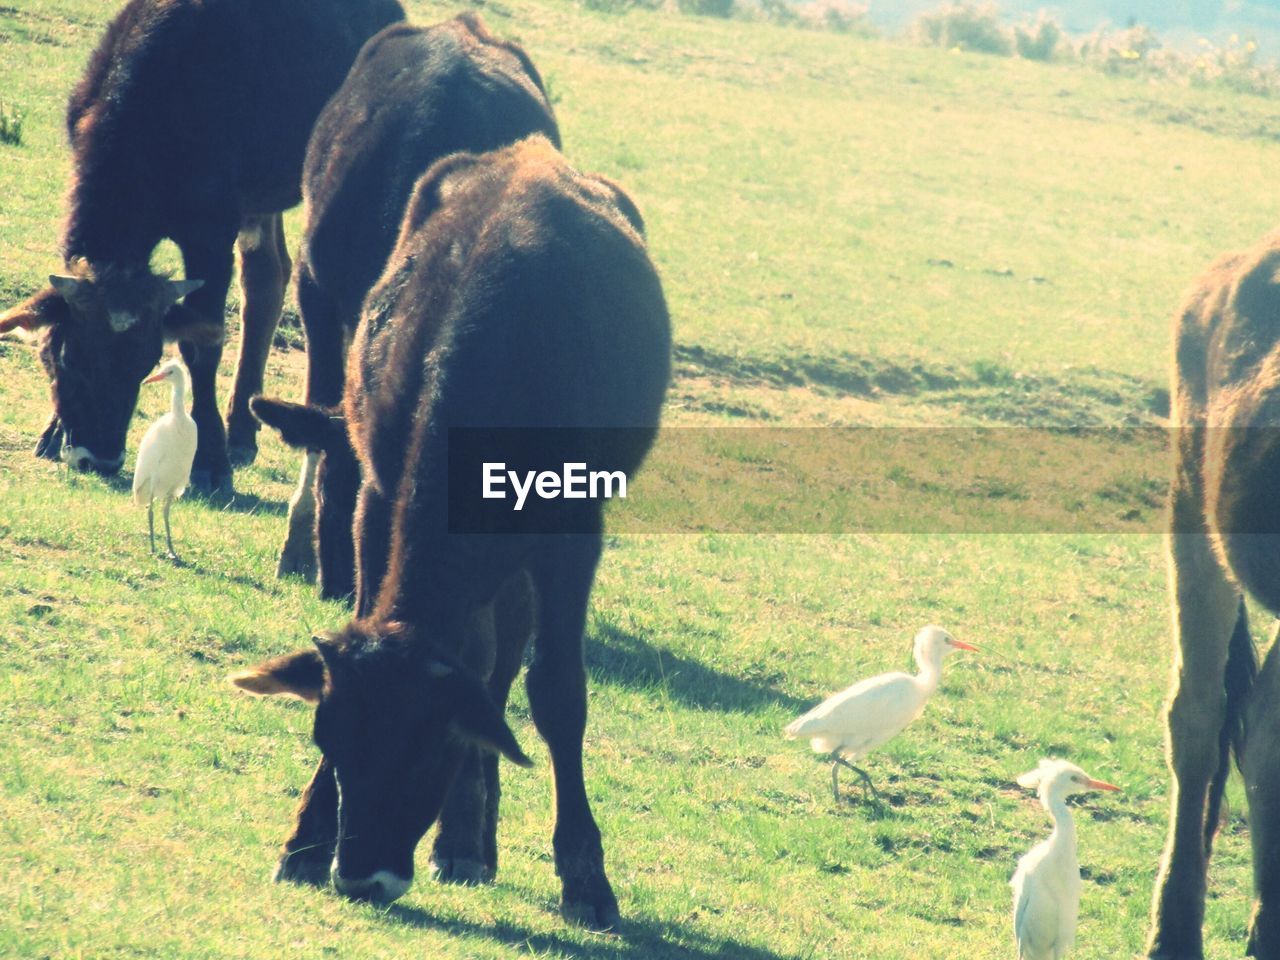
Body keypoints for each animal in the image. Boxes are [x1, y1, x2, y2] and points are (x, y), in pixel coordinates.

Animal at [0, 0, 404, 491]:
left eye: (146, 359)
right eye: (68, 359)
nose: (99, 459)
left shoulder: (210, 234)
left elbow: (202, 345)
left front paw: (210, 459)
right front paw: (54, 431)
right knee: (267, 277)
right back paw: (243, 431)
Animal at [232, 136, 670, 931]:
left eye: (424, 748)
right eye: (328, 738)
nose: (360, 876)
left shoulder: (571, 532)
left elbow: (555, 692)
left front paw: (585, 876)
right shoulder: (377, 499)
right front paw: (306, 839)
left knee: (502, 668)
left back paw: (469, 839)